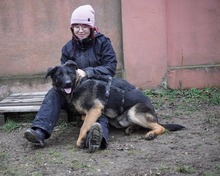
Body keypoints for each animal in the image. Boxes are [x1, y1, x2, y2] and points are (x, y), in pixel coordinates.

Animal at [46, 60, 186, 147]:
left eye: (69, 73)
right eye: (59, 75)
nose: (68, 83)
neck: (78, 85)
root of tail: (154, 115)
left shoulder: (95, 109)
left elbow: (84, 126)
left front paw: (80, 140)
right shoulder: (93, 111)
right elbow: (83, 117)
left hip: (134, 112)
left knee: (160, 127)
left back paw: (151, 133)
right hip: (119, 121)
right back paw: (132, 128)